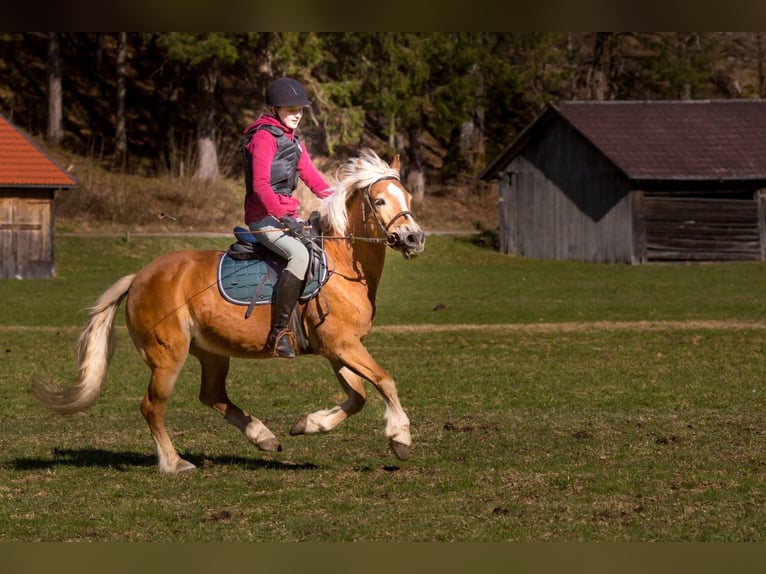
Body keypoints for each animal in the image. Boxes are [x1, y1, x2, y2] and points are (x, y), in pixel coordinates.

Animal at [34, 151, 426, 474]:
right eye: (379, 200)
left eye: (407, 198)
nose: (414, 238)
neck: (342, 264)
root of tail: (140, 277)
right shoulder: (343, 345)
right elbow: (385, 380)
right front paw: (401, 437)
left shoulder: (337, 348)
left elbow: (358, 396)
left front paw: (308, 424)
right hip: (168, 357)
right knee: (151, 406)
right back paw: (174, 463)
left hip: (211, 352)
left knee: (211, 395)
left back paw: (262, 435)